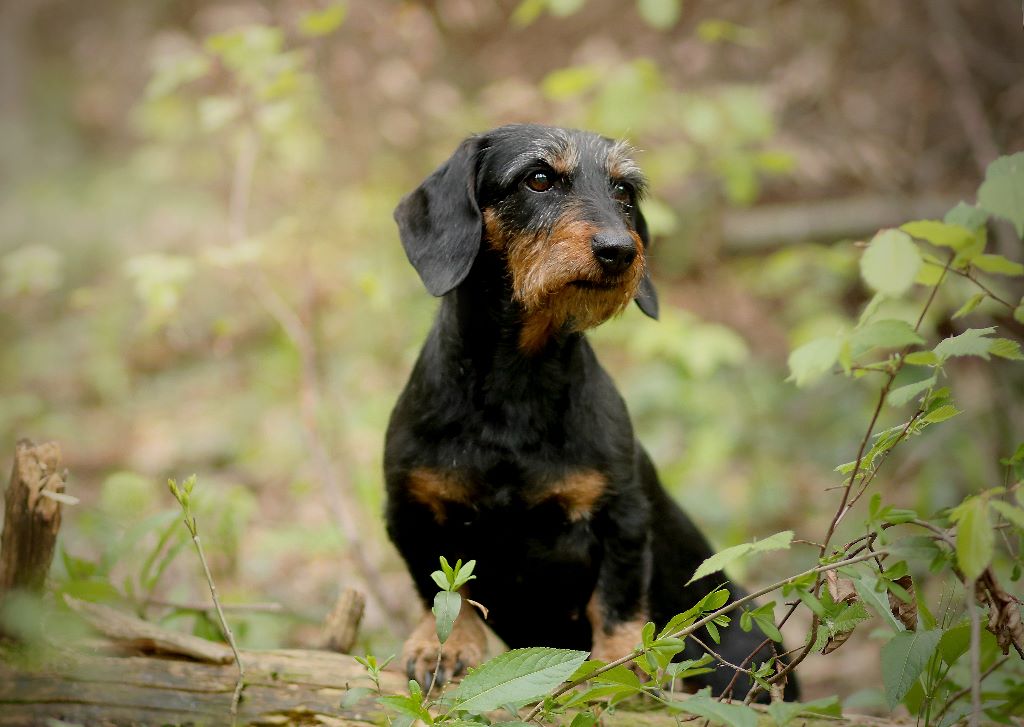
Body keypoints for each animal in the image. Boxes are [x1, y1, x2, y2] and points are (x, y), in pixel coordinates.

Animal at [382, 123, 790, 700]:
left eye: (624, 190)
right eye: (538, 178)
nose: (620, 250)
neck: (516, 386)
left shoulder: (623, 515)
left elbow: (616, 599)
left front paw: (619, 664)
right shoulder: (409, 510)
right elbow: (439, 585)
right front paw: (446, 645)